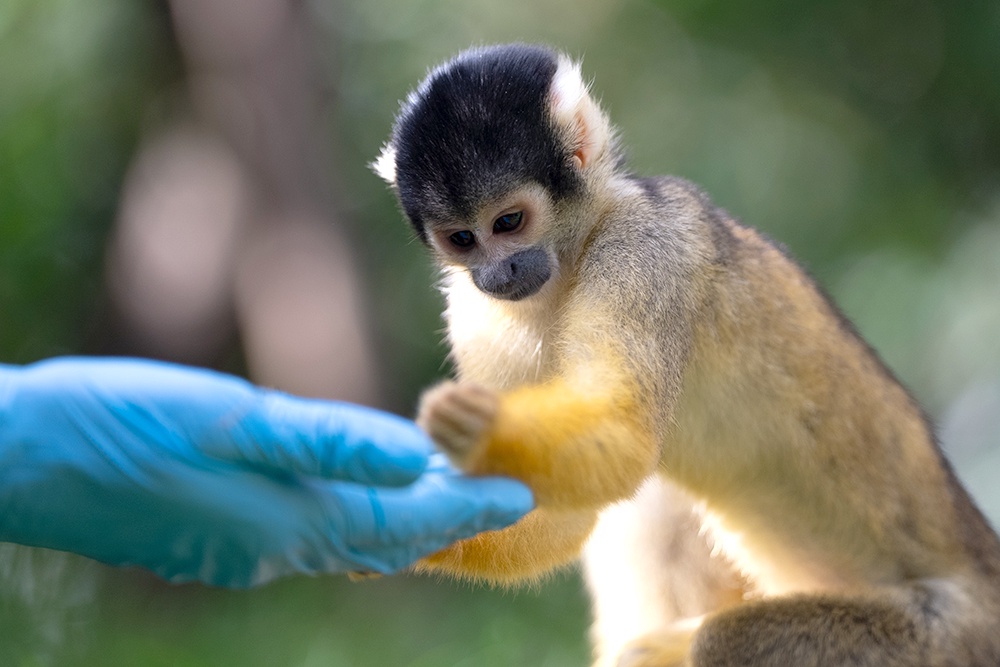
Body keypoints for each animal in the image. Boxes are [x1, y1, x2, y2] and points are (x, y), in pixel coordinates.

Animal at [372, 44, 1000, 666]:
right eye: (462, 239)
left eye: (508, 222)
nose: (497, 274)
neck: (573, 254)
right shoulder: (475, 314)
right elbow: (555, 514)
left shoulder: (646, 242)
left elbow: (623, 431)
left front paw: (479, 434)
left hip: (941, 641)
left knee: (724, 639)